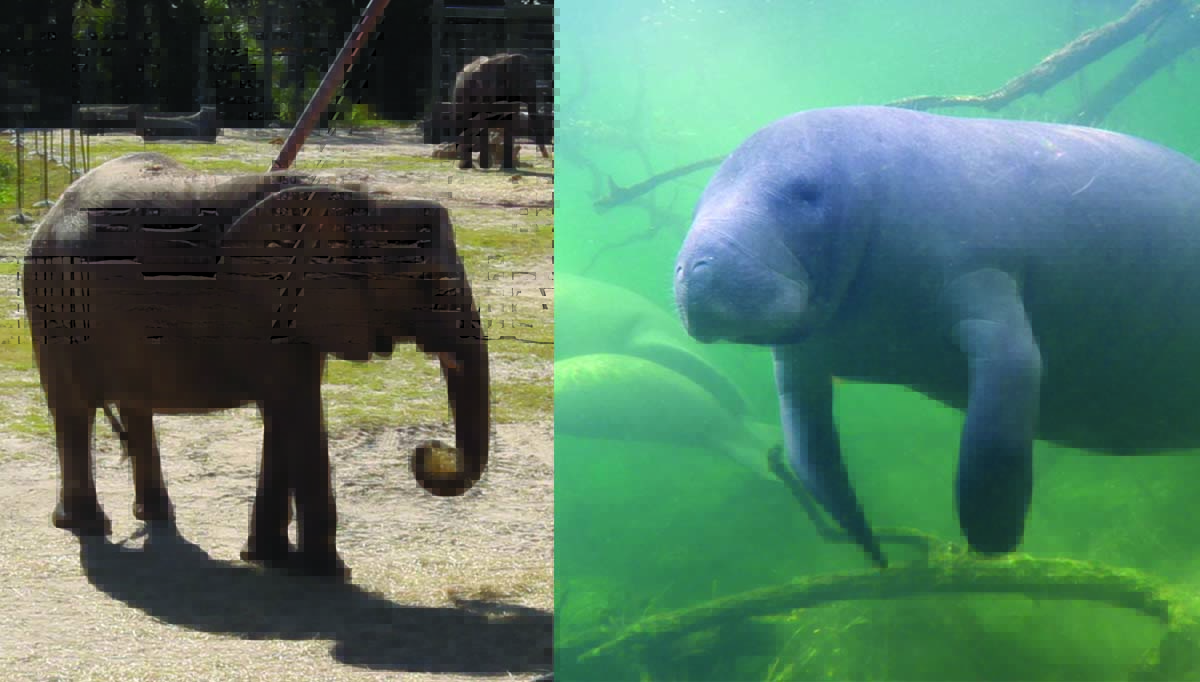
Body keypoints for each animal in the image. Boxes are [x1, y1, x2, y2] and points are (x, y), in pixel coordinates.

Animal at [22, 152, 490, 578]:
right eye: (427, 280)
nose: (428, 450)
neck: (349, 195)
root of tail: (51, 213)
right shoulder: (270, 306)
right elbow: (299, 411)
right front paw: (327, 572)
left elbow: (285, 414)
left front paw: (267, 557)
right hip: (52, 306)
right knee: (74, 411)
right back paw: (87, 524)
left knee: (135, 407)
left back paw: (153, 515)